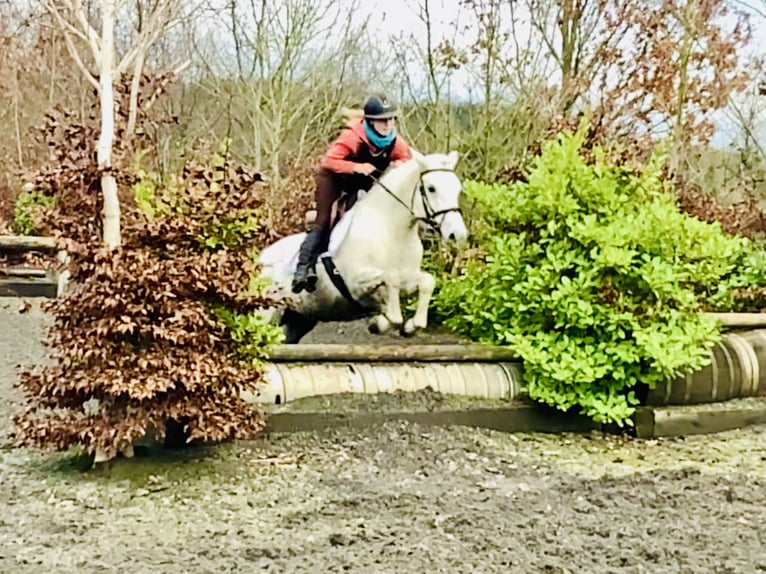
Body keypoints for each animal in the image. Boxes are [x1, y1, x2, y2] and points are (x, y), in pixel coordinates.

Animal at [260, 151, 468, 344]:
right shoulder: (355, 283)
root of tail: (260, 259)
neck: (392, 231)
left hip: (299, 319)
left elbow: (427, 282)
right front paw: (379, 323)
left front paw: (410, 326)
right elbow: (391, 286)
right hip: (266, 312)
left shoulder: (408, 278)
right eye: (432, 189)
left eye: (458, 189)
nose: (457, 234)